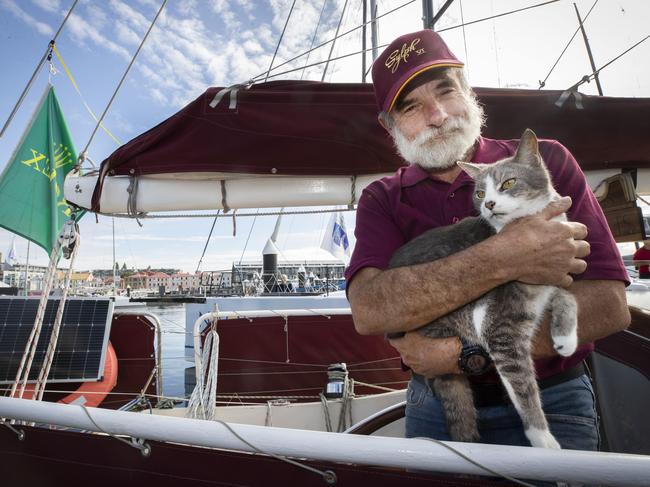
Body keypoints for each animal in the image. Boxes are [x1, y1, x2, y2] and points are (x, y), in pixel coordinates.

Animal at [390, 130, 576, 450]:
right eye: (479, 193)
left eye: (509, 183)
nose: (488, 203)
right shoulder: (499, 328)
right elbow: (524, 389)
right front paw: (543, 440)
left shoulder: (554, 274)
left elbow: (569, 295)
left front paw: (566, 339)